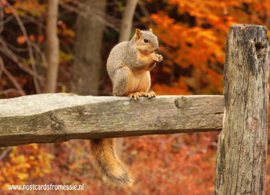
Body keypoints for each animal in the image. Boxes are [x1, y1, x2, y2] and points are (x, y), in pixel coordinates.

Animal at [90, 28, 162, 187]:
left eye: (156, 37)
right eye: (145, 40)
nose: (157, 49)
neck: (141, 50)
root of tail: (114, 90)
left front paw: (158, 57)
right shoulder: (130, 55)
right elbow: (137, 63)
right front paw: (153, 57)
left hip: (146, 77)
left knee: (142, 86)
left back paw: (146, 93)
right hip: (124, 75)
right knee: (123, 93)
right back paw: (132, 93)